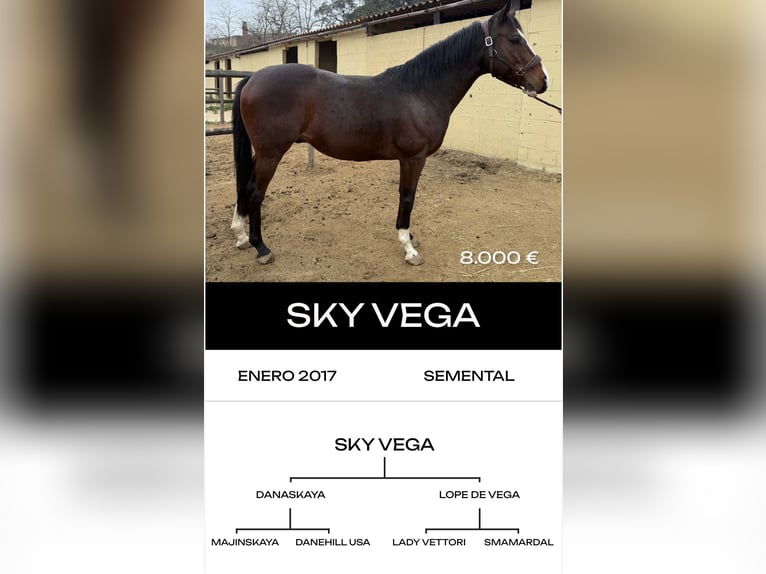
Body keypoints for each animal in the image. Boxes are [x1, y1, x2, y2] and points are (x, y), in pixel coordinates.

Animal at [230, 1, 548, 266]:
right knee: (255, 191)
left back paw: (241, 235)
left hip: (263, 152)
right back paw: (261, 247)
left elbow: (404, 195)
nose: (543, 81)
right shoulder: (413, 158)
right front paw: (408, 248)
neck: (420, 91)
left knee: (245, 186)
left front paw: (409, 237)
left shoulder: (408, 160)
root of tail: (252, 78)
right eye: (515, 39)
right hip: (271, 153)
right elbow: (408, 197)